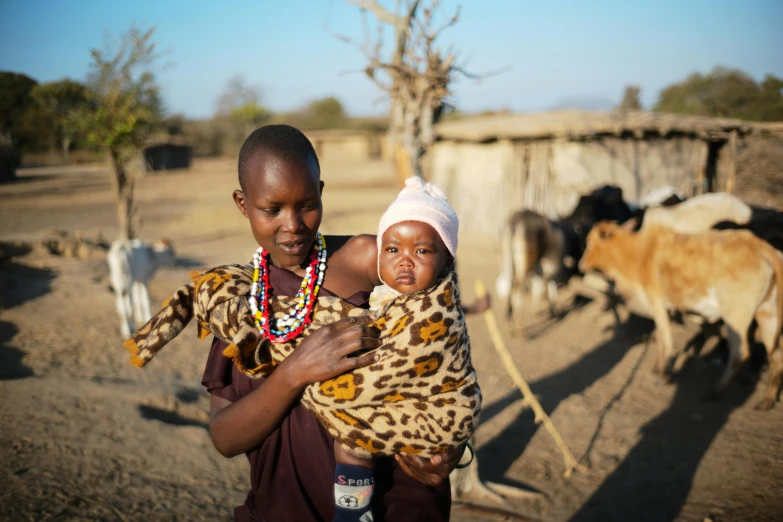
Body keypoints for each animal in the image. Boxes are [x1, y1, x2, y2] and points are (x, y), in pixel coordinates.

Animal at [580, 219, 780, 406]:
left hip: (735, 316)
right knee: (776, 354)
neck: (639, 253)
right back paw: (768, 400)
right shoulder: (665, 307)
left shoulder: (656, 302)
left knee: (740, 354)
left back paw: (714, 391)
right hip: (768, 314)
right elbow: (660, 336)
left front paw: (665, 374)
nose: (581, 265)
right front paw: (657, 367)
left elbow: (666, 337)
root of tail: (765, 248)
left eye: (589, 242)